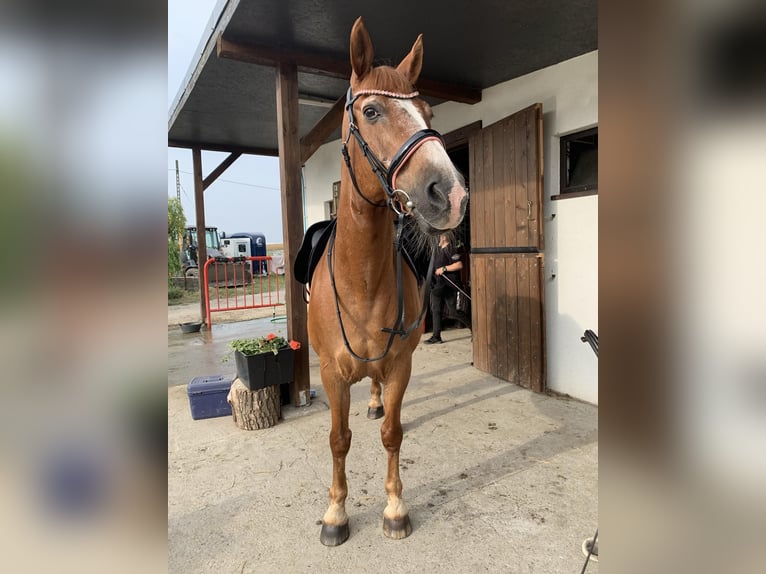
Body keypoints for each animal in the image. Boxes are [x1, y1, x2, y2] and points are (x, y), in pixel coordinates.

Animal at [308, 18, 468, 548]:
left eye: (429, 111)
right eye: (372, 110)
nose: (451, 194)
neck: (361, 282)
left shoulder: (400, 364)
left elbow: (393, 435)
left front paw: (396, 508)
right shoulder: (332, 375)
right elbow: (339, 440)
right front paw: (335, 514)